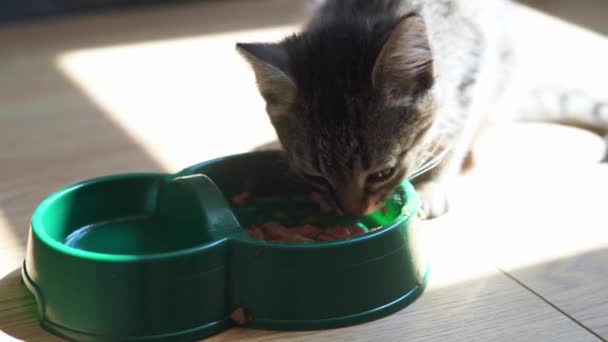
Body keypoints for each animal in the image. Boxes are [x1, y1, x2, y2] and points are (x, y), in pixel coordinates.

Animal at [235, 0, 604, 218]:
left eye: (382, 173)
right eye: (316, 176)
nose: (354, 214)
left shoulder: (472, 81)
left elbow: (452, 143)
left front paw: (431, 185)